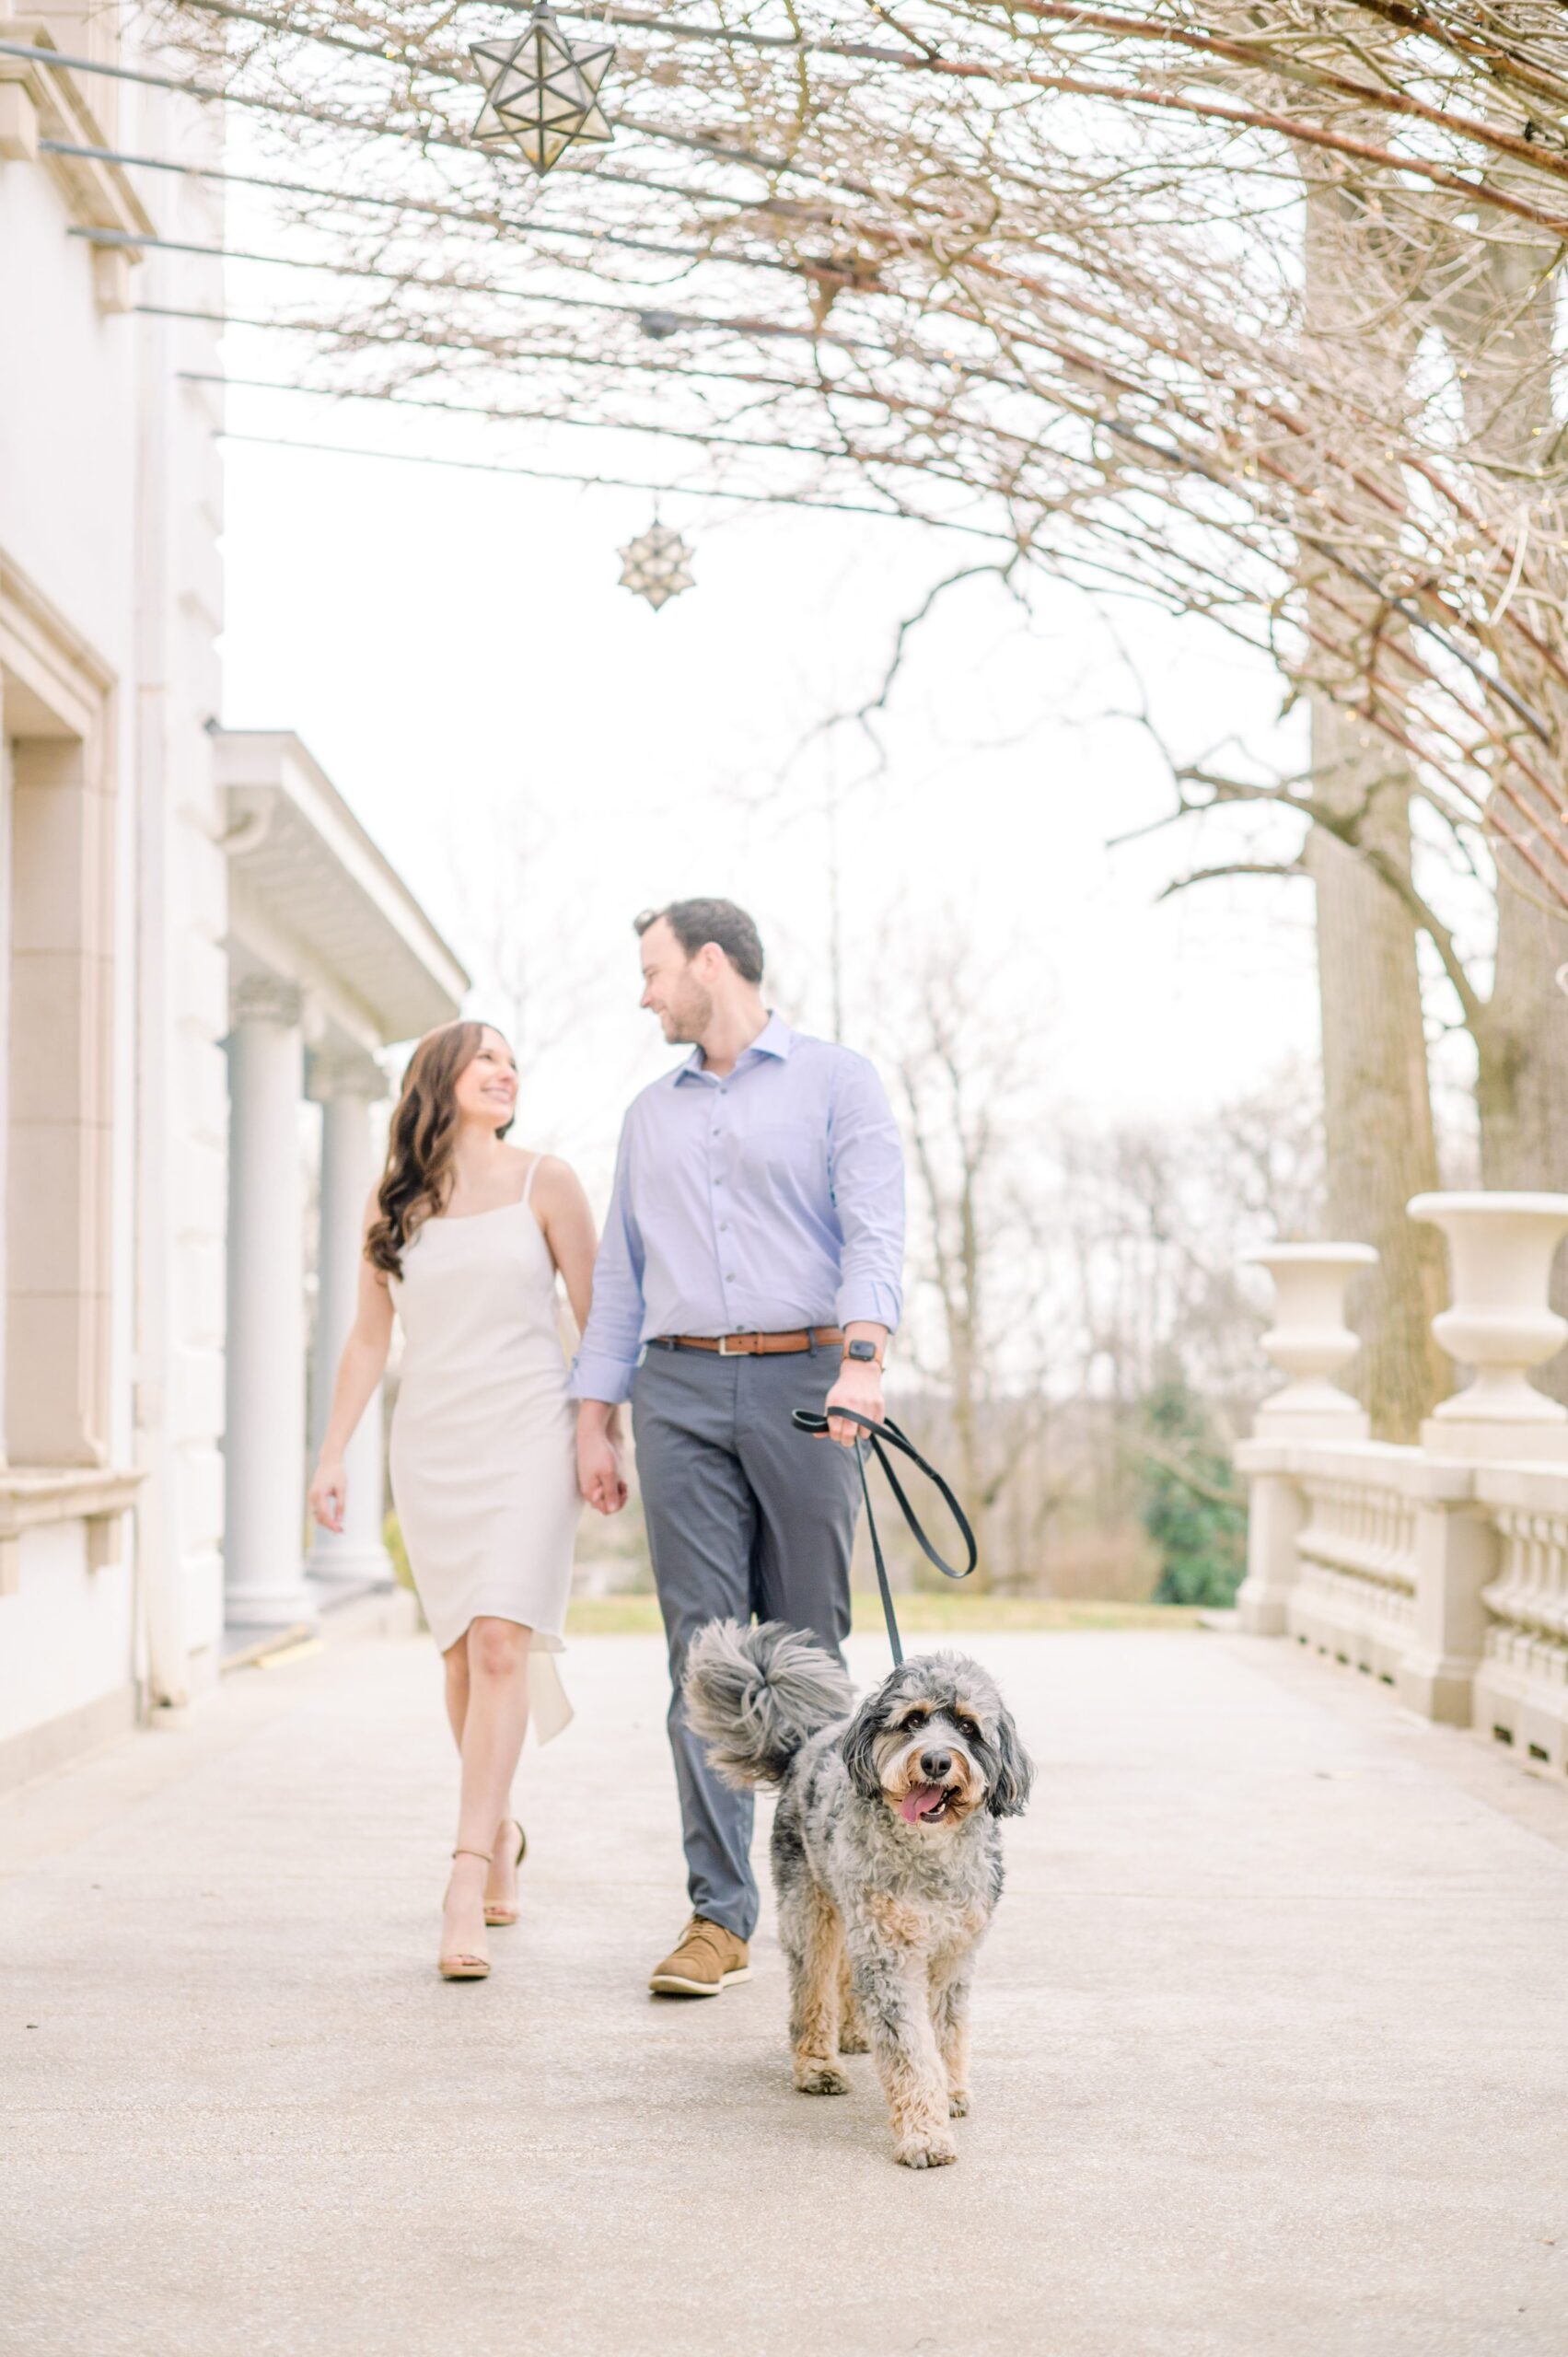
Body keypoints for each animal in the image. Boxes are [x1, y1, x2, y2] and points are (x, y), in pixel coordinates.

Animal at [683, 1621, 1028, 2168]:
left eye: (969, 1727)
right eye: (913, 1720)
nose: (935, 1760)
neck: (930, 1852)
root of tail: (803, 1745)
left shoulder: (954, 1955)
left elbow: (948, 2031)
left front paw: (950, 2090)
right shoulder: (890, 1956)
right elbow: (911, 2051)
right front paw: (924, 2134)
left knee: (846, 1972)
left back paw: (855, 2032)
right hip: (811, 1909)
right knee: (813, 1987)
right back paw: (817, 2065)